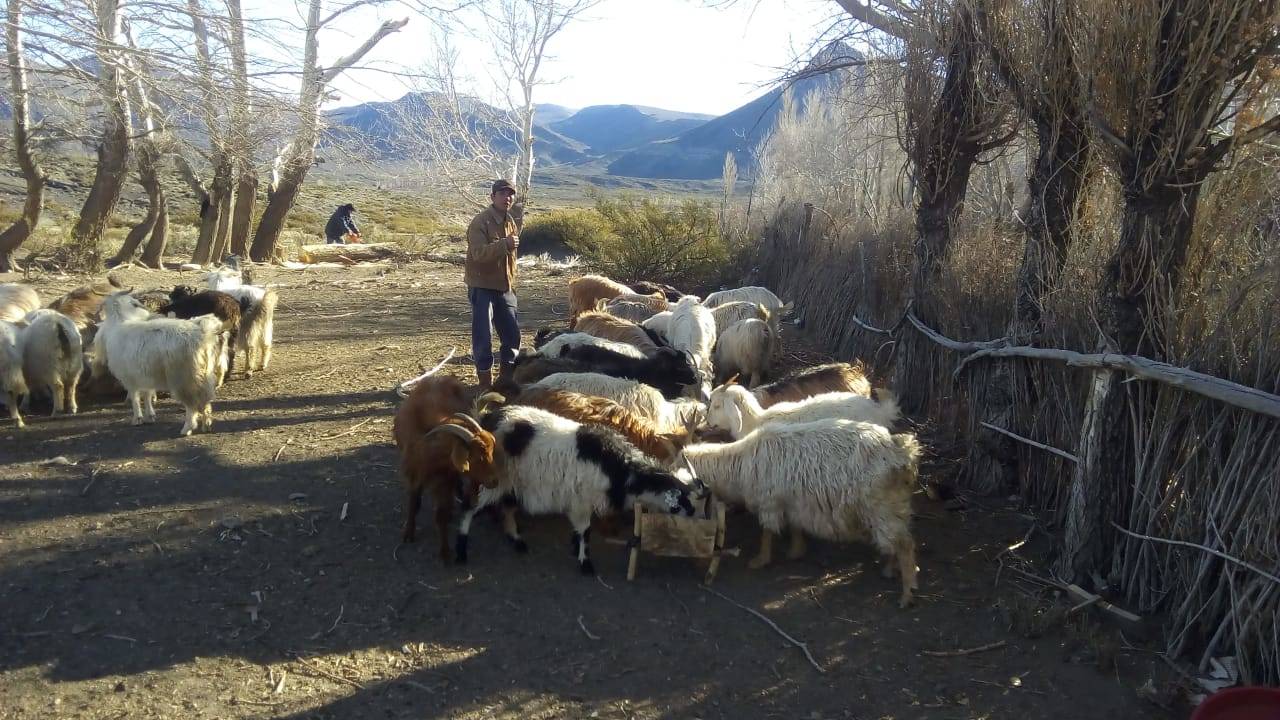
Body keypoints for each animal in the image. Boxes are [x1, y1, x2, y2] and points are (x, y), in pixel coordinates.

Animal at [94, 293, 223, 436]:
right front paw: (150, 416)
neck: (120, 322)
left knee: (191, 404)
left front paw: (137, 418)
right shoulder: (145, 374)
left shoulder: (129, 377)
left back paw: (187, 428)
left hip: (184, 377)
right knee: (205, 399)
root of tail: (201, 332)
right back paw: (206, 424)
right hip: (205, 373)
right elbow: (147, 394)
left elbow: (135, 396)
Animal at [393, 375, 503, 563]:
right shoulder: (413, 474)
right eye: (476, 457)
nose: (495, 481)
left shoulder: (444, 480)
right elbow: (414, 503)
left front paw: (445, 553)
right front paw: (408, 533)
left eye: (490, 452)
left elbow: (441, 515)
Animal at [458, 403, 698, 573]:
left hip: (515, 482)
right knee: (470, 506)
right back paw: (461, 551)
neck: (619, 469)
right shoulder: (581, 501)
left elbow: (579, 531)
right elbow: (585, 531)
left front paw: (575, 549)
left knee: (507, 508)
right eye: (679, 499)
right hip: (494, 479)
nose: (693, 512)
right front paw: (585, 563)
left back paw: (516, 540)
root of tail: (487, 419)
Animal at [680, 418, 922, 606]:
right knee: (896, 541)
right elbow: (795, 526)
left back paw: (907, 594)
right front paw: (796, 550)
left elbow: (766, 532)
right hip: (893, 506)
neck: (739, 463)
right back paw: (889, 570)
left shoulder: (769, 502)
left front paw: (760, 560)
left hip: (881, 506)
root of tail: (902, 453)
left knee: (905, 544)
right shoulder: (794, 503)